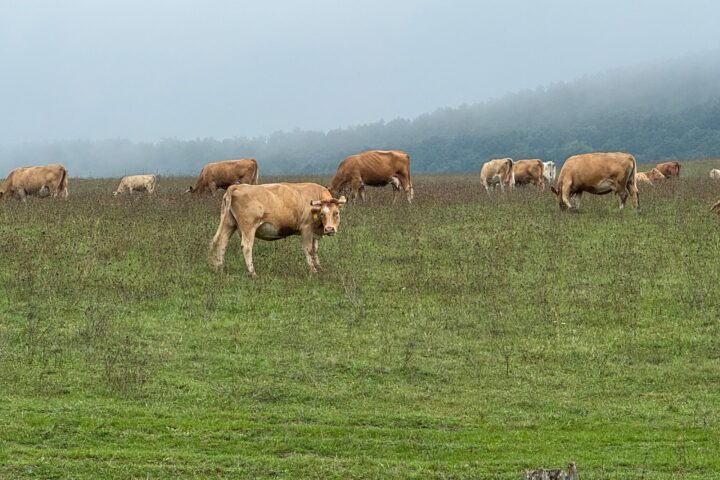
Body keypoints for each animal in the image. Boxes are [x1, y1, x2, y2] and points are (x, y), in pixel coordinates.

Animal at [208, 183, 346, 278]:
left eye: (336, 213)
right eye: (322, 213)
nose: (329, 229)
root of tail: (237, 186)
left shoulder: (314, 232)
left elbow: (315, 249)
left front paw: (320, 268)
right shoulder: (306, 228)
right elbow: (308, 249)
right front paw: (313, 270)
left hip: (228, 223)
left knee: (221, 242)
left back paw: (219, 269)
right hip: (248, 227)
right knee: (246, 247)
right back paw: (253, 273)